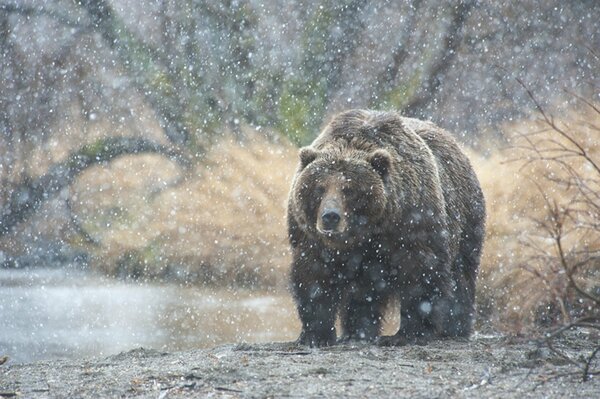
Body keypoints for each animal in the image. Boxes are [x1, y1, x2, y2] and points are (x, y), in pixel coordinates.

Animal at [288, 109, 488, 346]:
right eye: (319, 188)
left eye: (349, 190)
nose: (330, 217)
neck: (365, 233)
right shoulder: (311, 237)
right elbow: (313, 276)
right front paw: (315, 335)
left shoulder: (412, 221)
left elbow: (420, 272)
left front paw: (409, 333)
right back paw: (356, 332)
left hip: (466, 219)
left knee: (461, 274)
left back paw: (455, 327)